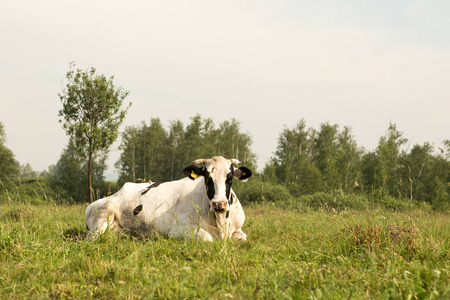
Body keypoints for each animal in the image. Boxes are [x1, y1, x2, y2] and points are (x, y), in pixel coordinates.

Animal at [85, 157, 253, 241]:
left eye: (229, 178)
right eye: (206, 178)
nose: (219, 204)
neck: (221, 223)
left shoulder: (238, 229)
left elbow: (243, 238)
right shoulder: (178, 230)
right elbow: (207, 238)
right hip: (103, 215)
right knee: (92, 237)